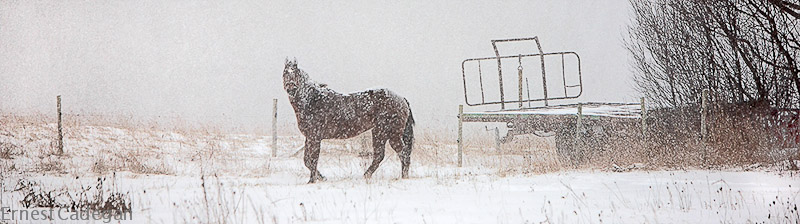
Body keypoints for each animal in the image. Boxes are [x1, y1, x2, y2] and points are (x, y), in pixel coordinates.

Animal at [282, 58, 416, 183]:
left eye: (296, 73)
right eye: (285, 73)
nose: (291, 89)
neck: (311, 100)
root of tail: (402, 99)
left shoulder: (315, 137)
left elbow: (313, 160)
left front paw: (312, 181)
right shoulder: (309, 137)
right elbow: (307, 161)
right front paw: (322, 178)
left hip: (388, 133)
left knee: (402, 153)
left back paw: (401, 177)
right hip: (380, 133)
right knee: (383, 155)